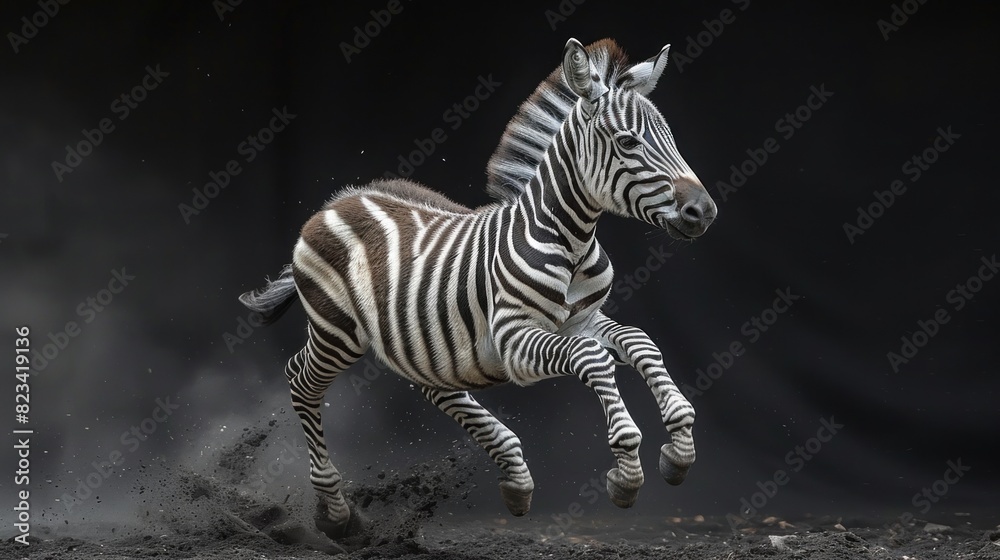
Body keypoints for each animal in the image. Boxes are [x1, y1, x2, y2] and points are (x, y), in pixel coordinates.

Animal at [240, 38, 717, 538]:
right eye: (628, 142)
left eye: (671, 139)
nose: (704, 212)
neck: (569, 239)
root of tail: (339, 200)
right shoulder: (514, 340)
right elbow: (593, 359)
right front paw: (626, 473)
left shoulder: (583, 320)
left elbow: (638, 342)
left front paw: (679, 449)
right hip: (337, 331)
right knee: (300, 380)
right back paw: (334, 512)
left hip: (423, 342)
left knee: (437, 389)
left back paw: (515, 478)